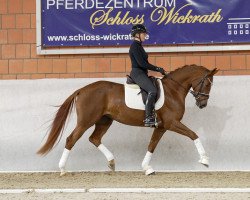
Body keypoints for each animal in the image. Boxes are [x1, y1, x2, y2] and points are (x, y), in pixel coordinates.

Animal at [37, 64, 219, 175]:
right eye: (207, 84)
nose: (202, 104)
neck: (173, 90)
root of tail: (82, 89)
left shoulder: (161, 127)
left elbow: (152, 145)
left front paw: (147, 168)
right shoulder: (171, 123)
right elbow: (193, 135)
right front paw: (205, 160)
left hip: (104, 120)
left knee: (94, 138)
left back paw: (111, 162)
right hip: (86, 121)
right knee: (71, 139)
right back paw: (63, 169)